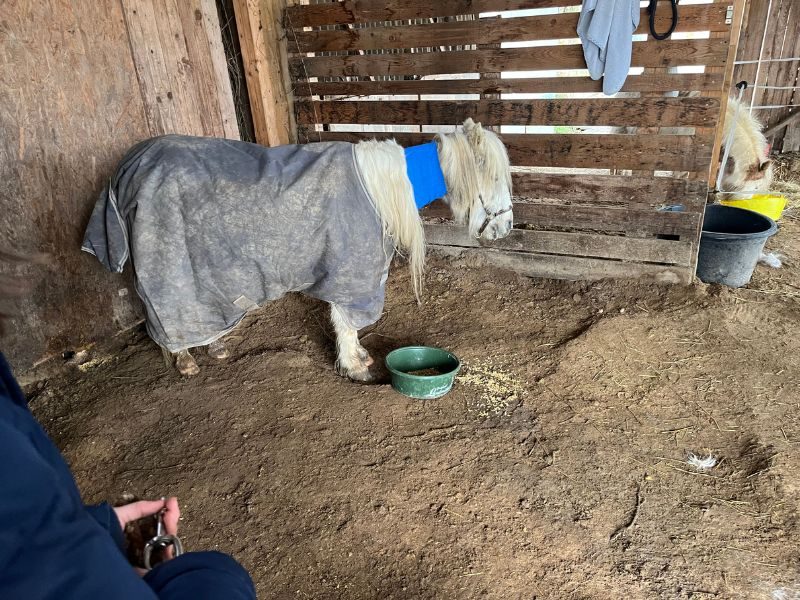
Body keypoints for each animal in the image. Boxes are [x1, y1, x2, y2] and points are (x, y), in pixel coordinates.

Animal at [82, 119, 514, 381]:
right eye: (493, 177)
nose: (507, 227)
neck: (379, 188)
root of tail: (130, 165)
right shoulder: (352, 274)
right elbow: (346, 322)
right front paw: (355, 366)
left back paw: (215, 346)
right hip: (167, 268)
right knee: (165, 314)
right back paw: (184, 359)